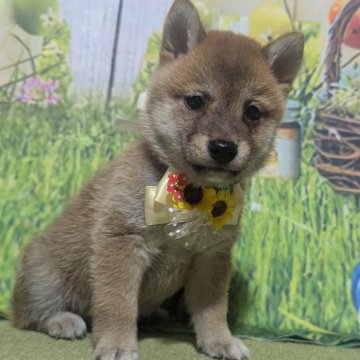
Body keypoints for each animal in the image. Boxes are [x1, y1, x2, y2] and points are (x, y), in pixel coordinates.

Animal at [11, 0, 304, 360]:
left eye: (252, 112)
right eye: (195, 101)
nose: (223, 148)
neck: (191, 193)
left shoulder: (211, 258)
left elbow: (212, 311)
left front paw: (219, 341)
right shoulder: (122, 243)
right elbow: (117, 305)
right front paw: (118, 344)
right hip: (42, 275)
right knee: (30, 315)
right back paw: (63, 320)